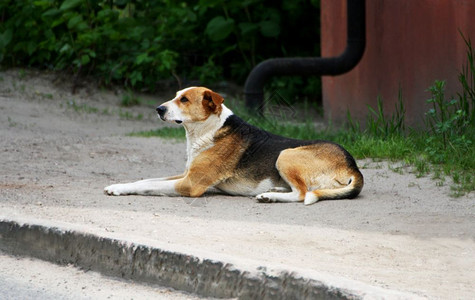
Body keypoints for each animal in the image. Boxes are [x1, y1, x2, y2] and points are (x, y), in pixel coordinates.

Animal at [105, 85, 364, 205]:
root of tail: (353, 166)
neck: (207, 131)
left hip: (285, 154)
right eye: (176, 95)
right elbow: (144, 181)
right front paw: (118, 185)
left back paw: (270, 197)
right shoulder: (185, 174)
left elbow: (149, 186)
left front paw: (121, 190)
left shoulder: (190, 184)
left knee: (302, 194)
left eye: (184, 100)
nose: (158, 109)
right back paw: (275, 190)